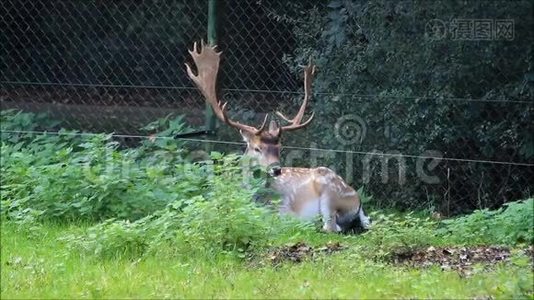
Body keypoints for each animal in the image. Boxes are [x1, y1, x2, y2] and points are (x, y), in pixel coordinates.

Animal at [186, 40, 370, 232]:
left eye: (279, 148)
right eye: (257, 148)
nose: (276, 169)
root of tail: (357, 199)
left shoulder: (283, 211)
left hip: (330, 193)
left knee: (332, 227)